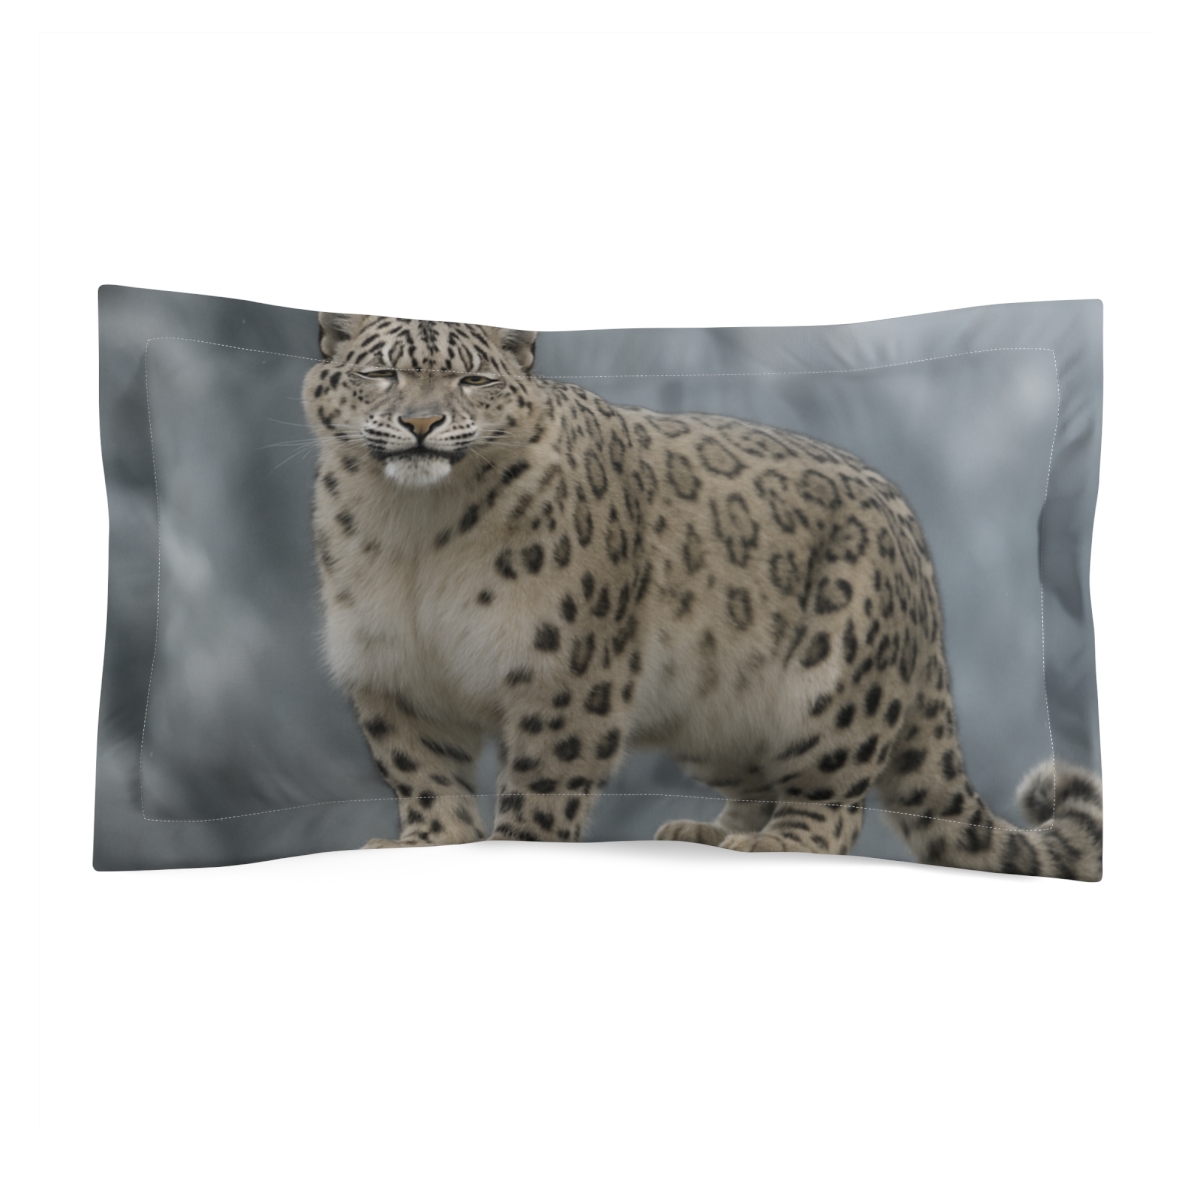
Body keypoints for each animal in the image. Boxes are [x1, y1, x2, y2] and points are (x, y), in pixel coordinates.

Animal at [302, 314, 1102, 880]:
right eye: (380, 373)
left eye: (474, 383)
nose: (422, 424)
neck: (415, 533)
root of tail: (915, 545)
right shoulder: (392, 669)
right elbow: (423, 774)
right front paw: (428, 844)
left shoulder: (569, 677)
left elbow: (543, 787)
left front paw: (517, 843)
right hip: (717, 709)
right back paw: (709, 831)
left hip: (837, 683)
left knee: (832, 805)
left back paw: (771, 844)